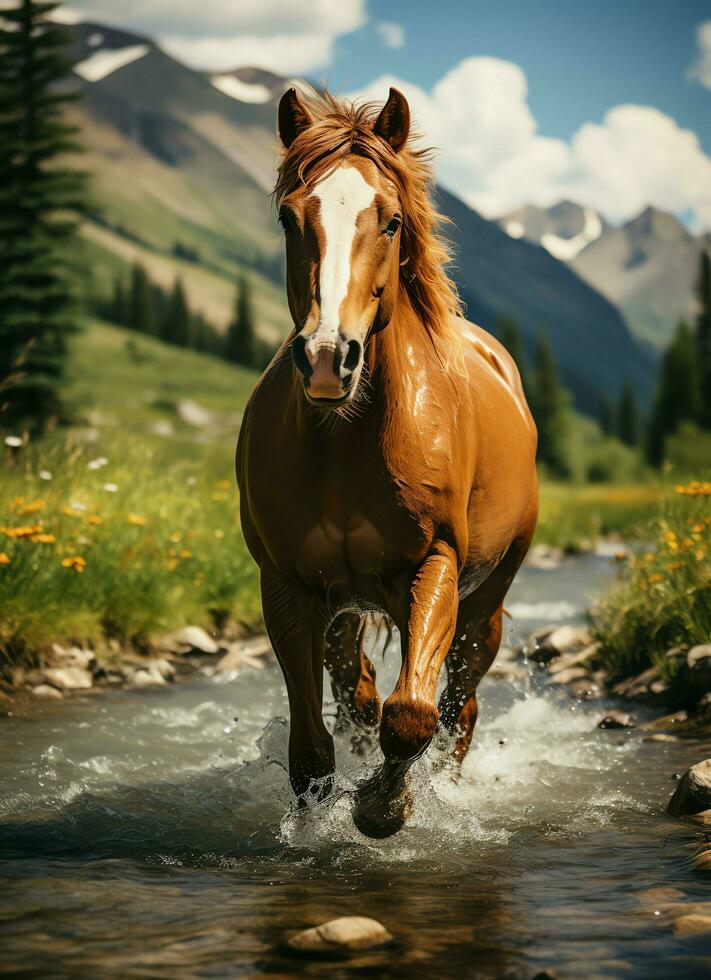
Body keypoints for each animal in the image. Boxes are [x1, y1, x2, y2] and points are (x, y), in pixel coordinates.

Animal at [236, 86, 536, 836]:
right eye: (289, 217)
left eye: (392, 220)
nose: (326, 358)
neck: (350, 442)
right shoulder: (287, 587)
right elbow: (313, 748)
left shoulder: (434, 567)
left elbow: (412, 717)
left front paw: (383, 805)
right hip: (345, 604)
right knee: (359, 694)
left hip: (484, 602)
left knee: (458, 706)